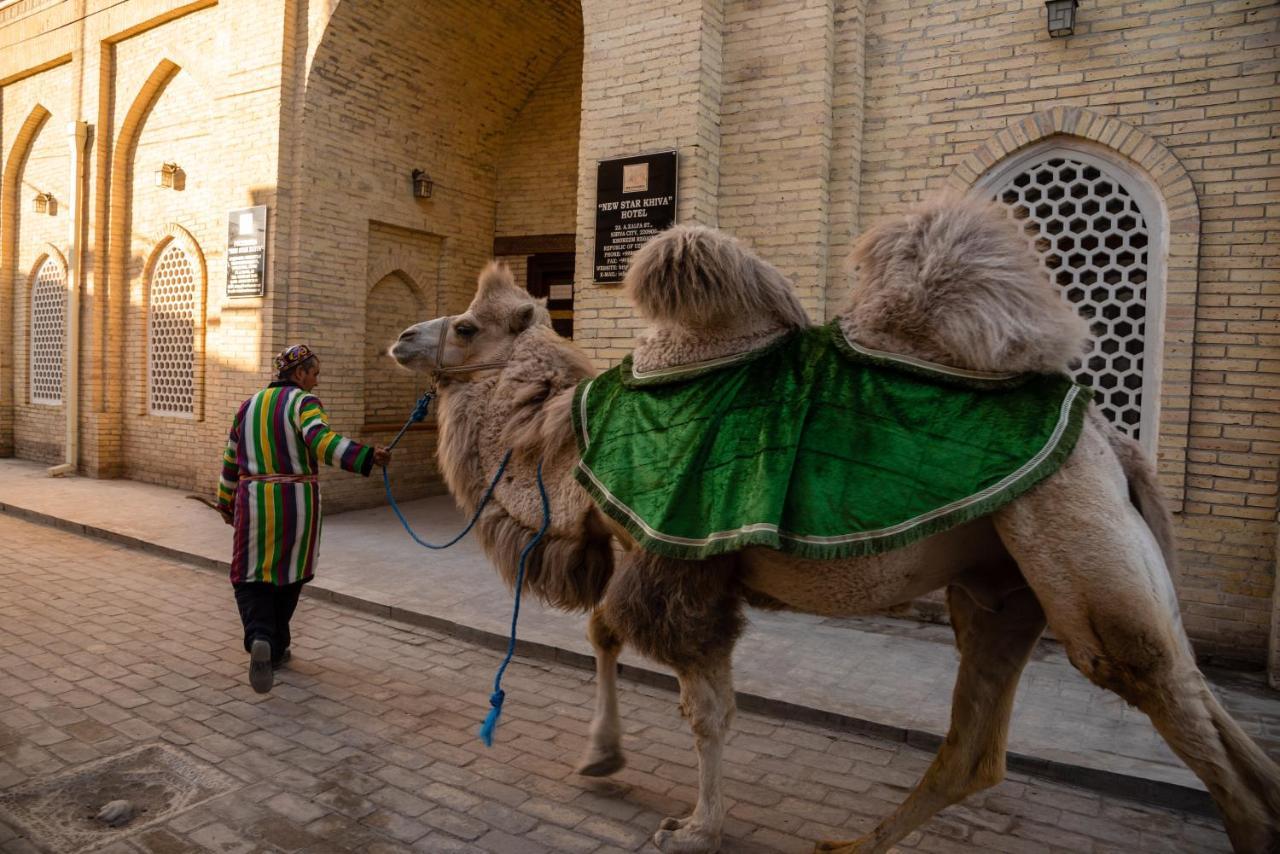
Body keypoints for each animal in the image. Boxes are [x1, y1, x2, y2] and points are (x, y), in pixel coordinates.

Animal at [389, 197, 1280, 850]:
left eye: (465, 326)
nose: (401, 337)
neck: (567, 437)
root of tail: (1115, 445)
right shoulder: (641, 548)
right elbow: (605, 634)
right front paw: (601, 755)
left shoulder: (677, 556)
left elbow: (703, 706)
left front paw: (695, 827)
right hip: (1002, 586)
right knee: (987, 746)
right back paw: (853, 843)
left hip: (1077, 547)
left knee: (1171, 705)